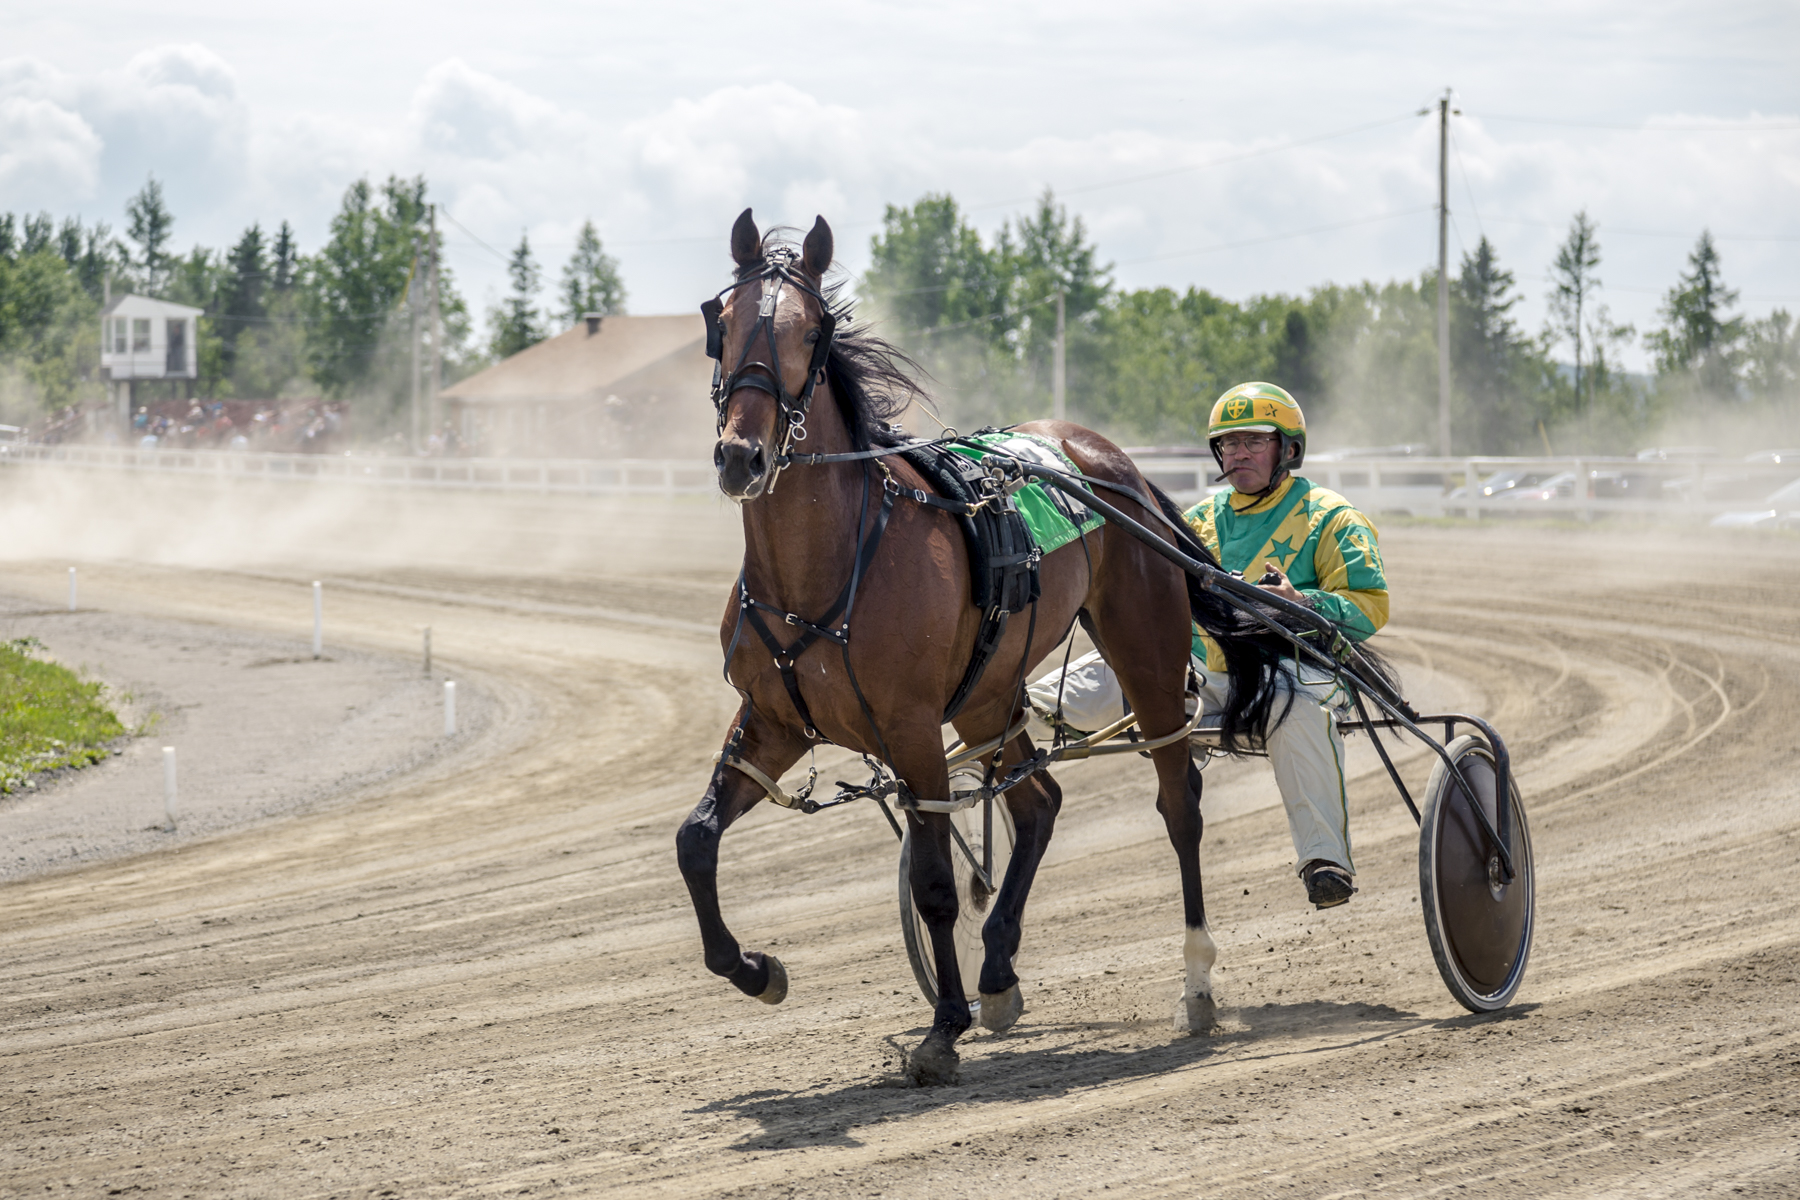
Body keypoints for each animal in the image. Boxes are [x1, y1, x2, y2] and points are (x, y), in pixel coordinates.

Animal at [676, 208, 1296, 1086]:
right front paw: (757, 970)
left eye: (813, 330)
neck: (826, 564)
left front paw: (943, 1028)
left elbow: (936, 882)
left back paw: (1197, 981)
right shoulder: (773, 720)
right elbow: (696, 840)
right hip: (988, 692)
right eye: (720, 324)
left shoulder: (909, 731)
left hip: (1142, 648)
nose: (741, 456)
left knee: (1179, 804)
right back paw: (999, 969)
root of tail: (1110, 461)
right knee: (1039, 805)